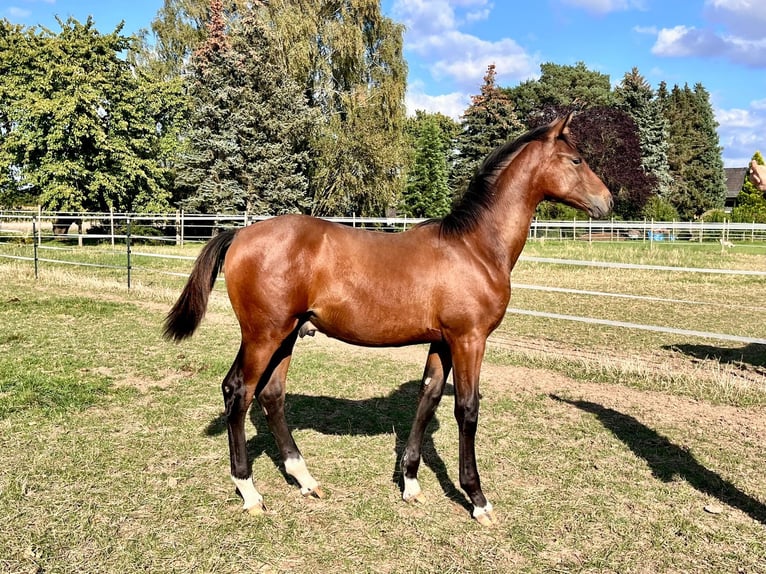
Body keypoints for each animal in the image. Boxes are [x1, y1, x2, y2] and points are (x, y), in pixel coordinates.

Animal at [165, 115, 616, 528]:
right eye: (576, 159)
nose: (608, 202)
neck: (474, 247)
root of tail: (239, 235)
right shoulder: (469, 339)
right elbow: (467, 410)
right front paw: (477, 500)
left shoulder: (442, 341)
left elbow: (428, 398)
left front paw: (411, 484)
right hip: (264, 334)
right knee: (238, 392)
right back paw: (250, 492)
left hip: (288, 334)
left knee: (271, 394)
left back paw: (305, 479)